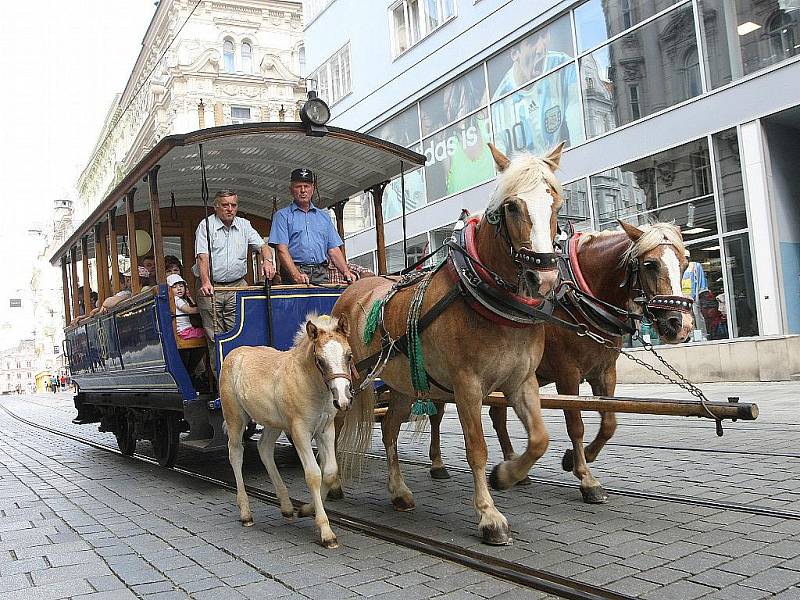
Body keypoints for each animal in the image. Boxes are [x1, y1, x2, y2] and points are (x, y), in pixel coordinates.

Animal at [220, 314, 354, 548]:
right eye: (320, 360)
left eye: (349, 356)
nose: (344, 400)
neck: (311, 384)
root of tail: (234, 353)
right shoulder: (300, 430)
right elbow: (313, 474)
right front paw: (326, 532)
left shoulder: (326, 429)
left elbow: (329, 472)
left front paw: (305, 509)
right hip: (235, 417)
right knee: (235, 454)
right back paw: (246, 513)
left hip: (273, 423)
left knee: (264, 449)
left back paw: (287, 507)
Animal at [334, 144, 564, 544]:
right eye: (512, 207)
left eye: (554, 202)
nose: (544, 278)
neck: (490, 300)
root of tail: (352, 287)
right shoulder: (466, 385)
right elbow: (476, 448)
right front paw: (489, 516)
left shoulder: (521, 382)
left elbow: (539, 439)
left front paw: (506, 475)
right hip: (347, 380)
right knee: (331, 424)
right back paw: (328, 481)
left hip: (402, 385)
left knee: (390, 429)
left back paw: (399, 491)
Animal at [418, 220, 692, 502]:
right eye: (650, 264)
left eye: (685, 262)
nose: (680, 325)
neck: (578, 296)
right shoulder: (567, 374)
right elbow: (575, 426)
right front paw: (586, 478)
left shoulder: (605, 372)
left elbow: (609, 423)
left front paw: (575, 458)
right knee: (437, 415)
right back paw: (438, 464)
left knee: (497, 416)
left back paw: (514, 466)